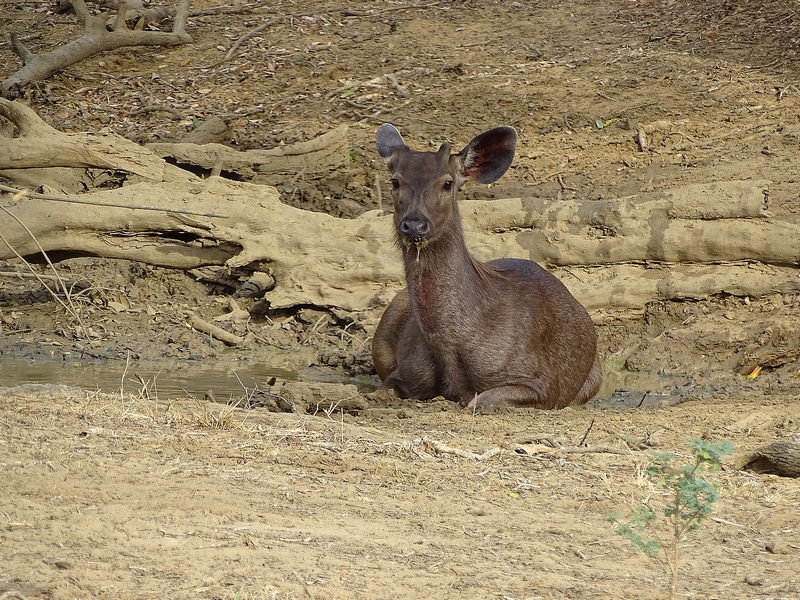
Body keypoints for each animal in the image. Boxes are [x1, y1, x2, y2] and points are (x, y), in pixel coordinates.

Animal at [371, 123, 602, 409]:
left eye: (447, 183)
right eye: (395, 181)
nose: (414, 224)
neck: (449, 351)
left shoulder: (543, 383)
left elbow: (477, 402)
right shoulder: (403, 372)